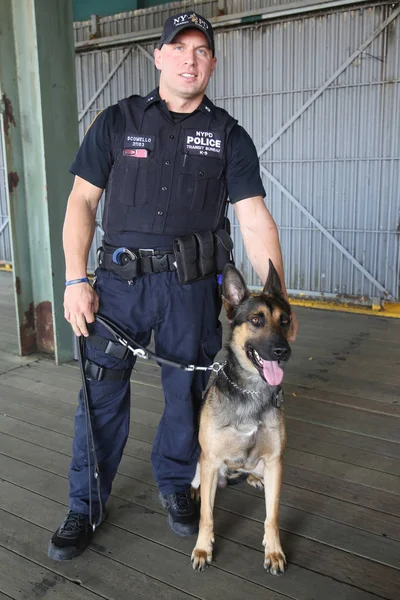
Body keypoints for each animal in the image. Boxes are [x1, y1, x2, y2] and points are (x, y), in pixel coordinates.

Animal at [191, 260, 290, 576]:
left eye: (285, 320)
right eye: (256, 320)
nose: (283, 351)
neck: (251, 390)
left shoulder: (276, 462)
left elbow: (273, 515)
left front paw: (274, 551)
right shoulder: (210, 460)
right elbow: (207, 516)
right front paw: (203, 548)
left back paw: (253, 478)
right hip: (203, 462)